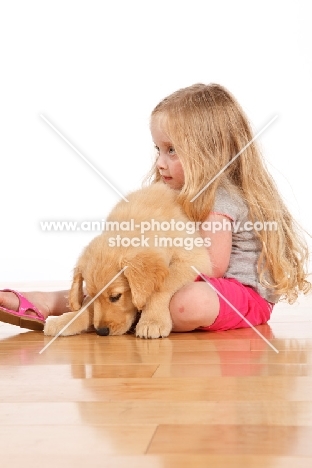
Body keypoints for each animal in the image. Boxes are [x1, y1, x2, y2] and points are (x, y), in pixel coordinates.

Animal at [44, 181, 212, 338]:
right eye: (92, 295)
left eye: (116, 297)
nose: (101, 331)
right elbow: (86, 305)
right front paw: (64, 321)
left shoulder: (195, 259)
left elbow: (161, 287)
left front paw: (152, 321)